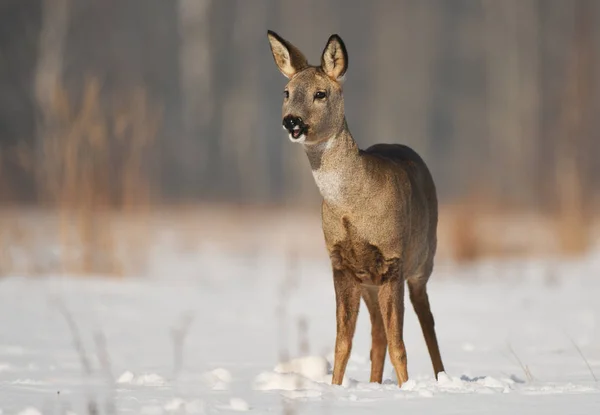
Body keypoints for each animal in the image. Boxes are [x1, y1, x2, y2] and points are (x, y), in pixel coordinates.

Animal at [268, 30, 446, 388]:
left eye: (320, 93)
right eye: (287, 92)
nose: (291, 121)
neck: (353, 207)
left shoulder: (393, 258)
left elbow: (400, 344)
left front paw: (406, 388)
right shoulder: (341, 263)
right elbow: (343, 342)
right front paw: (335, 388)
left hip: (423, 260)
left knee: (427, 323)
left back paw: (441, 378)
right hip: (370, 284)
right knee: (377, 335)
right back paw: (376, 383)